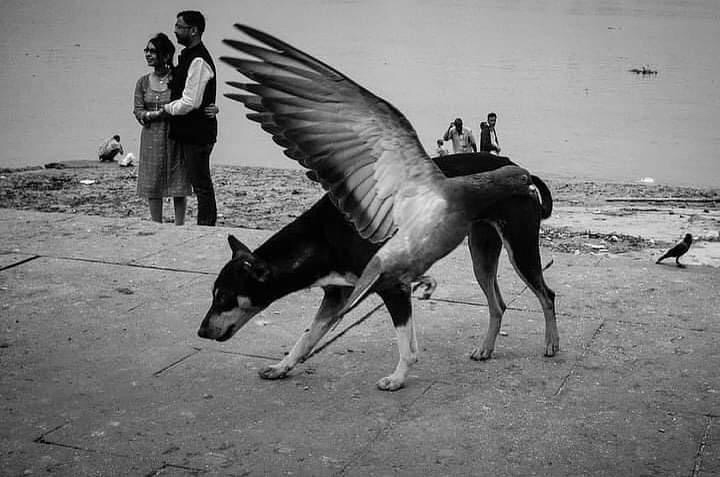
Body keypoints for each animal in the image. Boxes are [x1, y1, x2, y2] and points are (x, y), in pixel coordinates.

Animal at [198, 152, 557, 390]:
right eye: (214, 295)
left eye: (224, 297)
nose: (201, 332)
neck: (322, 237)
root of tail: (520, 168)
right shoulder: (338, 294)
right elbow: (307, 337)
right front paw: (282, 367)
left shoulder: (392, 286)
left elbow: (406, 344)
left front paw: (398, 378)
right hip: (481, 254)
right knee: (498, 303)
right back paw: (486, 348)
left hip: (520, 250)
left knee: (547, 294)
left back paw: (552, 344)